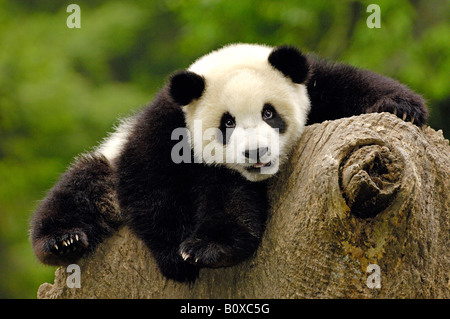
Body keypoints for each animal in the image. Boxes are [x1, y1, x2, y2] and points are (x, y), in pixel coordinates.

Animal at [29, 43, 428, 282]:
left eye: (269, 113)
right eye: (227, 123)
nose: (256, 153)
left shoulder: (317, 87)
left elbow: (352, 84)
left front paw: (401, 107)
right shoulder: (166, 125)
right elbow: (147, 182)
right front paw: (178, 258)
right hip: (103, 169)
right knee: (86, 183)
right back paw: (63, 240)